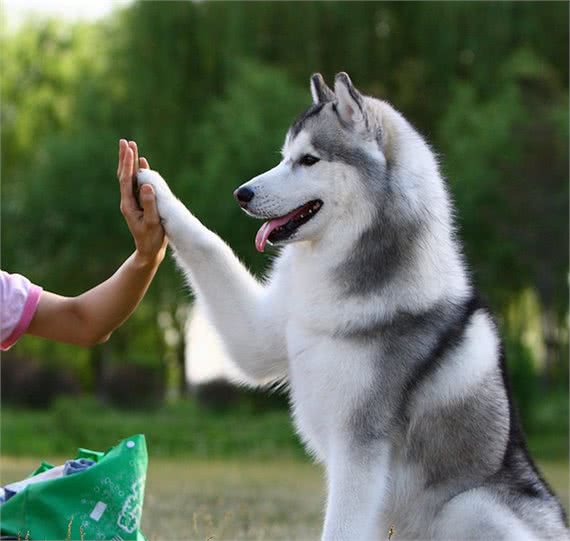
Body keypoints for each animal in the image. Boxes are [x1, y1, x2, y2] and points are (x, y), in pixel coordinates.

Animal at [136, 73, 564, 540]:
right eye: (284, 157)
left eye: (309, 160)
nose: (241, 193)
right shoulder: (260, 336)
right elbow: (208, 243)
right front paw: (151, 183)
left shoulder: (359, 450)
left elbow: (339, 526)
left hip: (470, 504)